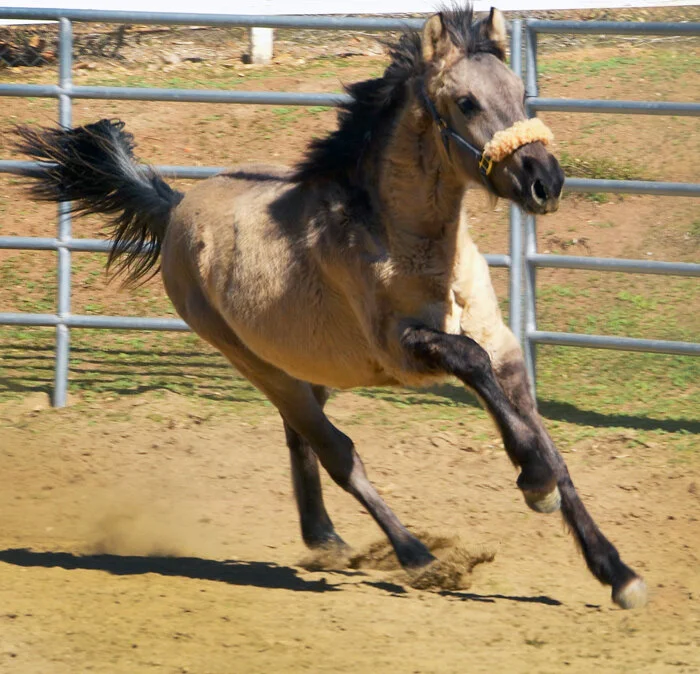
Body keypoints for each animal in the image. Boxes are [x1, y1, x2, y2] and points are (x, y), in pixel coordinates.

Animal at [16, 5, 646, 609]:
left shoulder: (508, 351)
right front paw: (534, 485)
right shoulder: (405, 351)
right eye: (466, 102)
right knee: (338, 453)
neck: (405, 242)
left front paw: (617, 573)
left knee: (302, 439)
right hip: (257, 365)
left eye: (521, 93)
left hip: (304, 365)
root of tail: (175, 209)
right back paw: (417, 556)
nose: (546, 181)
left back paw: (327, 540)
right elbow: (472, 364)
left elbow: (549, 445)